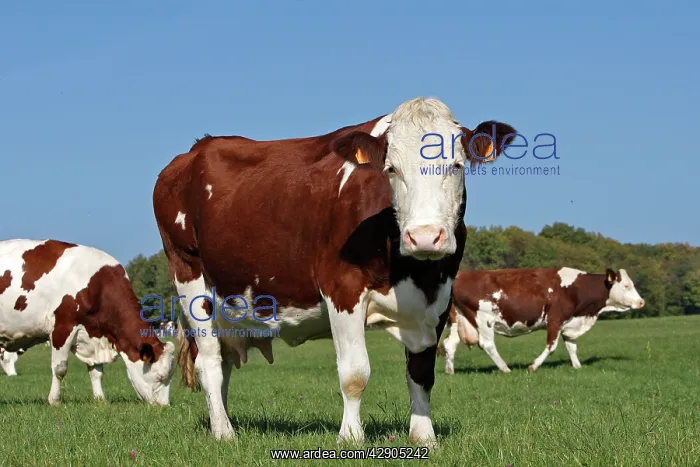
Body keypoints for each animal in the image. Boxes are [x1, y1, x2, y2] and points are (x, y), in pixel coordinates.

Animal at [0, 239, 176, 405]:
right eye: (160, 377)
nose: (164, 406)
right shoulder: (62, 328)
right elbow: (59, 368)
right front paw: (53, 400)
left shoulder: (93, 333)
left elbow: (96, 371)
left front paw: (100, 399)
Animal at [153, 96, 517, 445]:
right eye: (391, 169)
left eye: (456, 166)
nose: (425, 237)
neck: (413, 272)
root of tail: (198, 148)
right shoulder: (342, 289)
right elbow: (354, 373)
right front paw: (351, 437)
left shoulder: (439, 297)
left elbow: (421, 373)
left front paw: (424, 437)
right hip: (190, 280)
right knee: (209, 362)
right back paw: (223, 433)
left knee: (225, 362)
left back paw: (222, 422)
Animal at [437, 267, 645, 375]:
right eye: (626, 286)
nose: (641, 302)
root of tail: (461, 274)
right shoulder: (555, 319)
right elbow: (551, 346)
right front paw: (533, 366)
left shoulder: (569, 321)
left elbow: (572, 346)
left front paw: (577, 366)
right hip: (483, 318)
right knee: (487, 344)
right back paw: (505, 368)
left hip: (458, 319)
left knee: (449, 343)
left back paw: (450, 370)